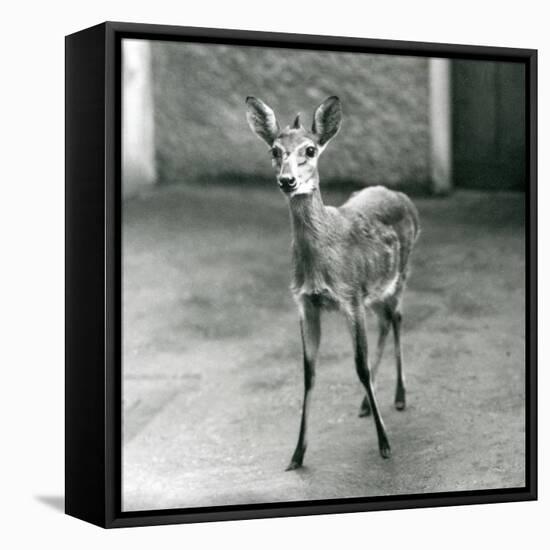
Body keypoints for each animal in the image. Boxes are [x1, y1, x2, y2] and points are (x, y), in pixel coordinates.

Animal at [248, 95, 420, 470]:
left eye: (310, 150)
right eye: (274, 150)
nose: (287, 181)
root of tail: (402, 197)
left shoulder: (350, 297)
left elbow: (359, 368)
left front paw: (385, 445)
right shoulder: (306, 303)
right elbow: (308, 373)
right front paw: (296, 455)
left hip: (399, 275)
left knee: (398, 318)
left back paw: (399, 397)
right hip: (375, 290)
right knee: (386, 321)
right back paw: (368, 404)